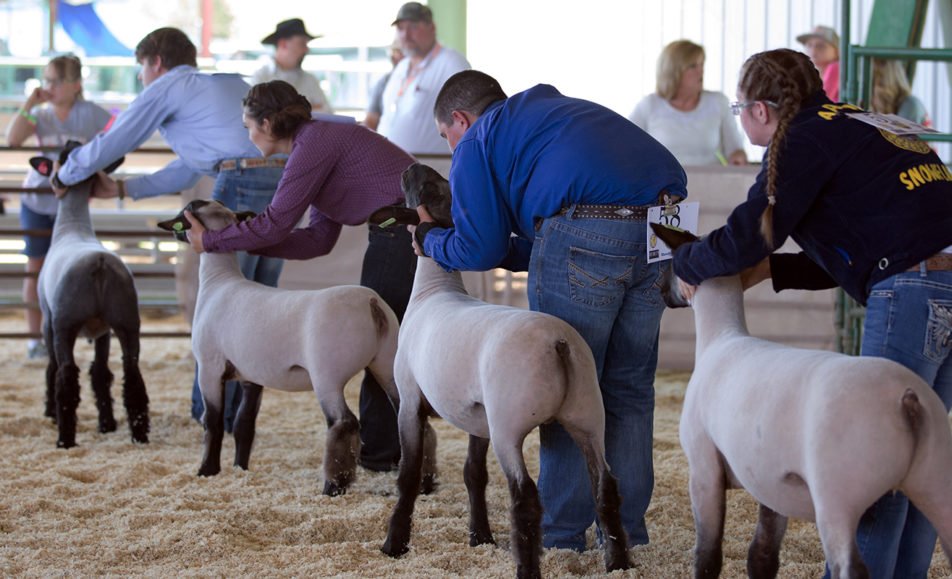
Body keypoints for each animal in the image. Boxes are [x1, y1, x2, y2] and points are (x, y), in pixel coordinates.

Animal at [35, 144, 149, 448]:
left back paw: (65, 438)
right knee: (132, 375)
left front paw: (49, 412)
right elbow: (100, 374)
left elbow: (52, 367)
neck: (73, 226)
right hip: (128, 322)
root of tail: (99, 264)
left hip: (65, 323)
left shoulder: (48, 320)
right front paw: (107, 425)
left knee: (65, 375)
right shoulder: (103, 331)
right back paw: (139, 434)